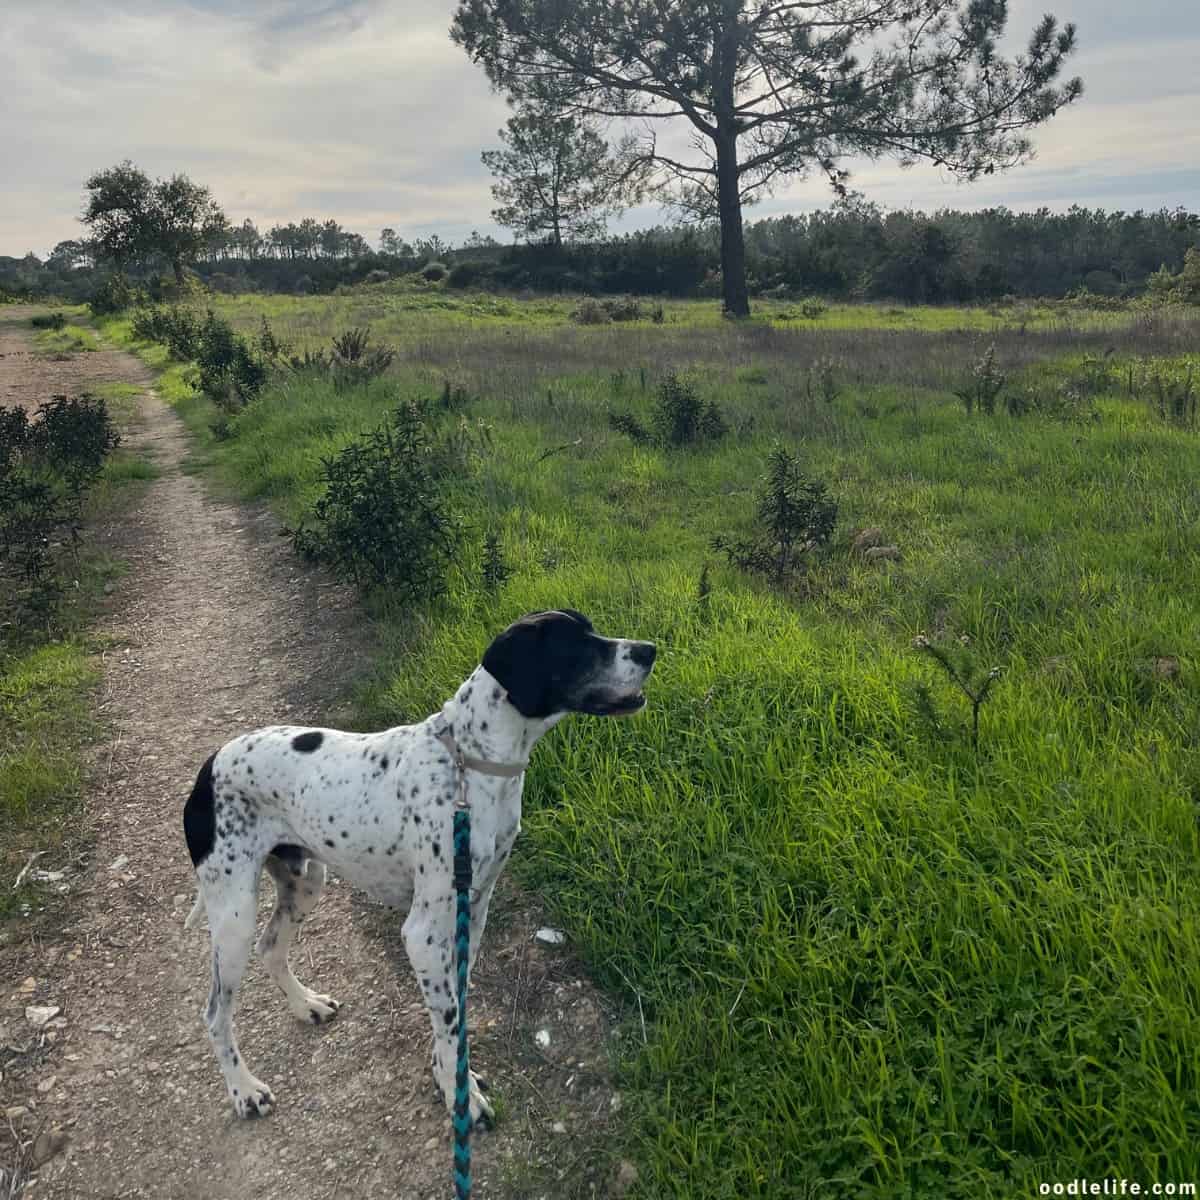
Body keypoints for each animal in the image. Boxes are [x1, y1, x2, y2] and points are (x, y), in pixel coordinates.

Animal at [182, 609, 657, 1123]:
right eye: (577, 645)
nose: (650, 649)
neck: (471, 763)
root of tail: (209, 766)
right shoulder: (423, 933)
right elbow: (447, 1015)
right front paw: (458, 1094)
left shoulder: (474, 911)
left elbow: (455, 1005)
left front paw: (446, 1071)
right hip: (233, 913)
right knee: (214, 1013)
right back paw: (244, 1089)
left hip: (305, 882)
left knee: (271, 947)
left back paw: (305, 1005)